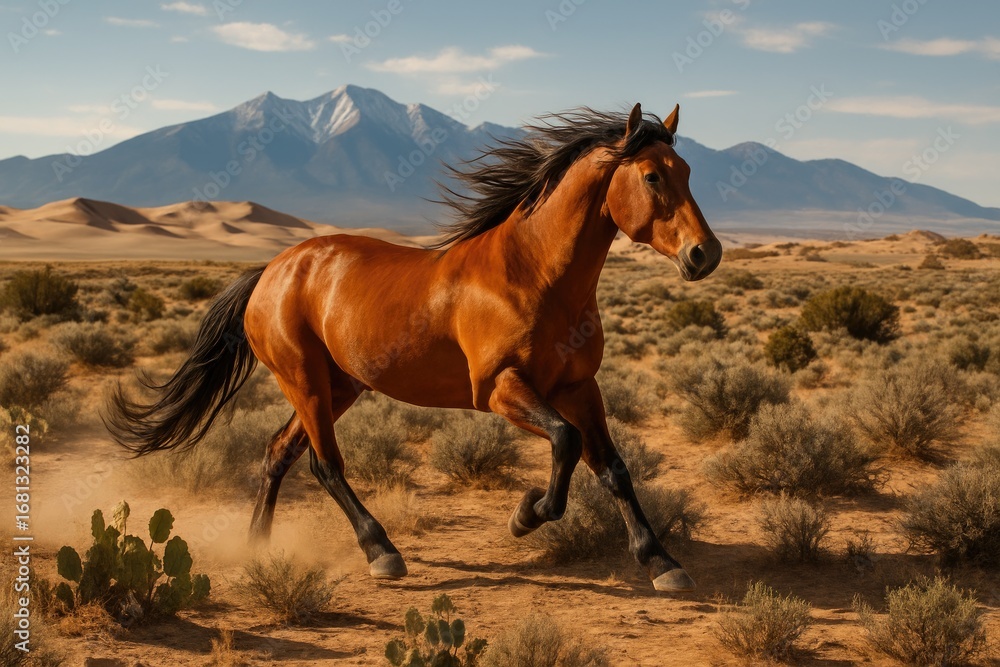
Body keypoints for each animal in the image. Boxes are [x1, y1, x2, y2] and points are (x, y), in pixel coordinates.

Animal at [107, 102, 722, 592]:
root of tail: (271, 271)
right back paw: (381, 552)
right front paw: (526, 515)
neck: (532, 273)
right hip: (304, 379)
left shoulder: (578, 386)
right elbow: (566, 443)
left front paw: (662, 562)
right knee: (324, 464)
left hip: (339, 385)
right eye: (652, 177)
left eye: (689, 172)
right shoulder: (499, 389)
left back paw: (259, 545)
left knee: (278, 451)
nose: (705, 254)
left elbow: (613, 467)